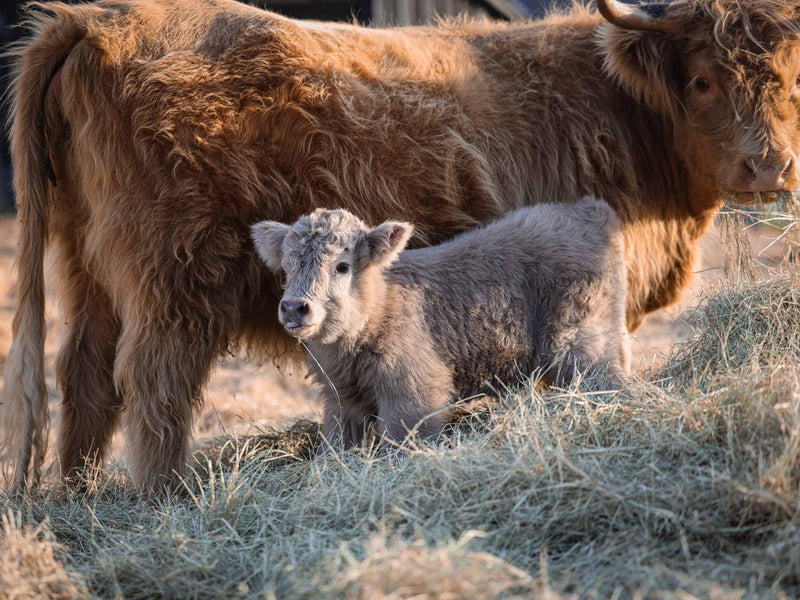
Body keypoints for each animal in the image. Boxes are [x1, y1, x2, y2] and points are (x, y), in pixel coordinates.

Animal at [251, 200, 630, 453]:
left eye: (342, 266)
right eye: (287, 269)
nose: (294, 308)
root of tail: (588, 211)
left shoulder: (412, 394)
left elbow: (402, 444)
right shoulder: (342, 400)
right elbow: (337, 444)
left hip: (579, 339)